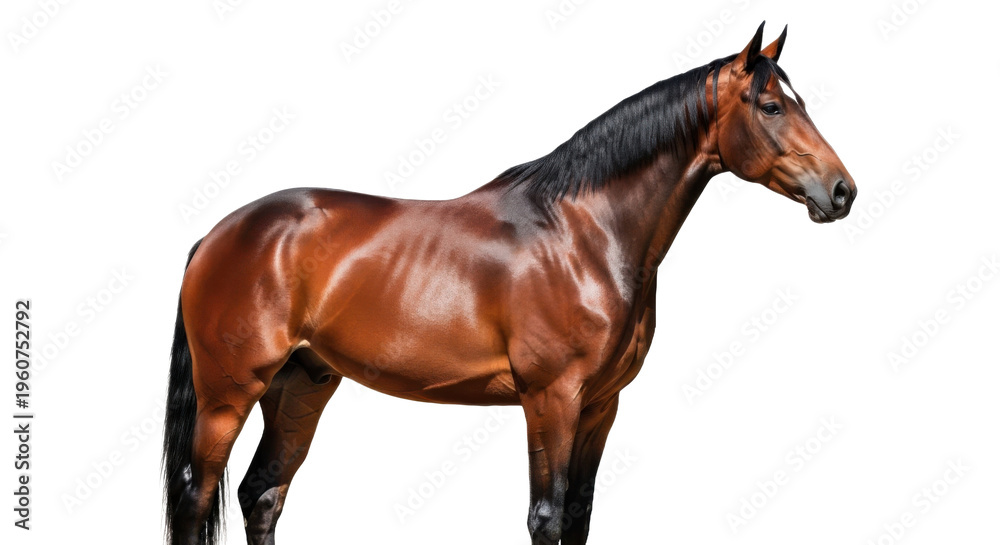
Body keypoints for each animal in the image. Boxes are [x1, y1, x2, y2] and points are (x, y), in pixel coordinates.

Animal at [163, 22, 856, 545]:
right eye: (771, 106)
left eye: (801, 101)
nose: (842, 191)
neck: (584, 233)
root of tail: (219, 234)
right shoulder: (552, 398)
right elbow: (545, 518)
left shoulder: (601, 404)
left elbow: (578, 515)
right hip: (229, 394)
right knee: (198, 497)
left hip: (302, 384)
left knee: (263, 494)